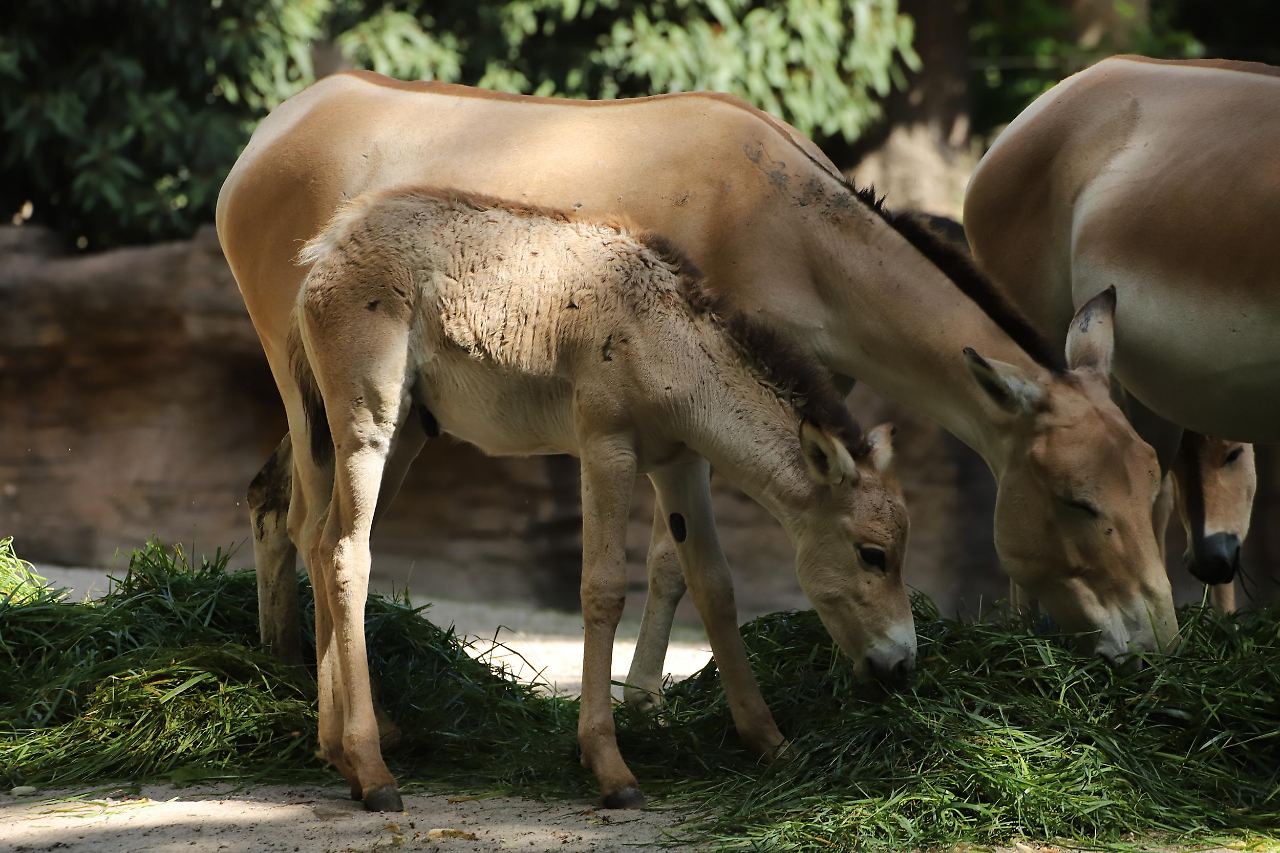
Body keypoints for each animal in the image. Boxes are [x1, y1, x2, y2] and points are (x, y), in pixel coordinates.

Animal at [286, 188, 916, 809]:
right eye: (873, 554)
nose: (903, 664)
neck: (669, 345)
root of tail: (329, 245)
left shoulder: (681, 465)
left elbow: (714, 586)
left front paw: (771, 743)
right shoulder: (607, 449)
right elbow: (603, 589)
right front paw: (610, 767)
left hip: (409, 431)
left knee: (321, 543)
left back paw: (336, 751)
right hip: (368, 425)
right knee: (347, 553)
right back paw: (373, 772)